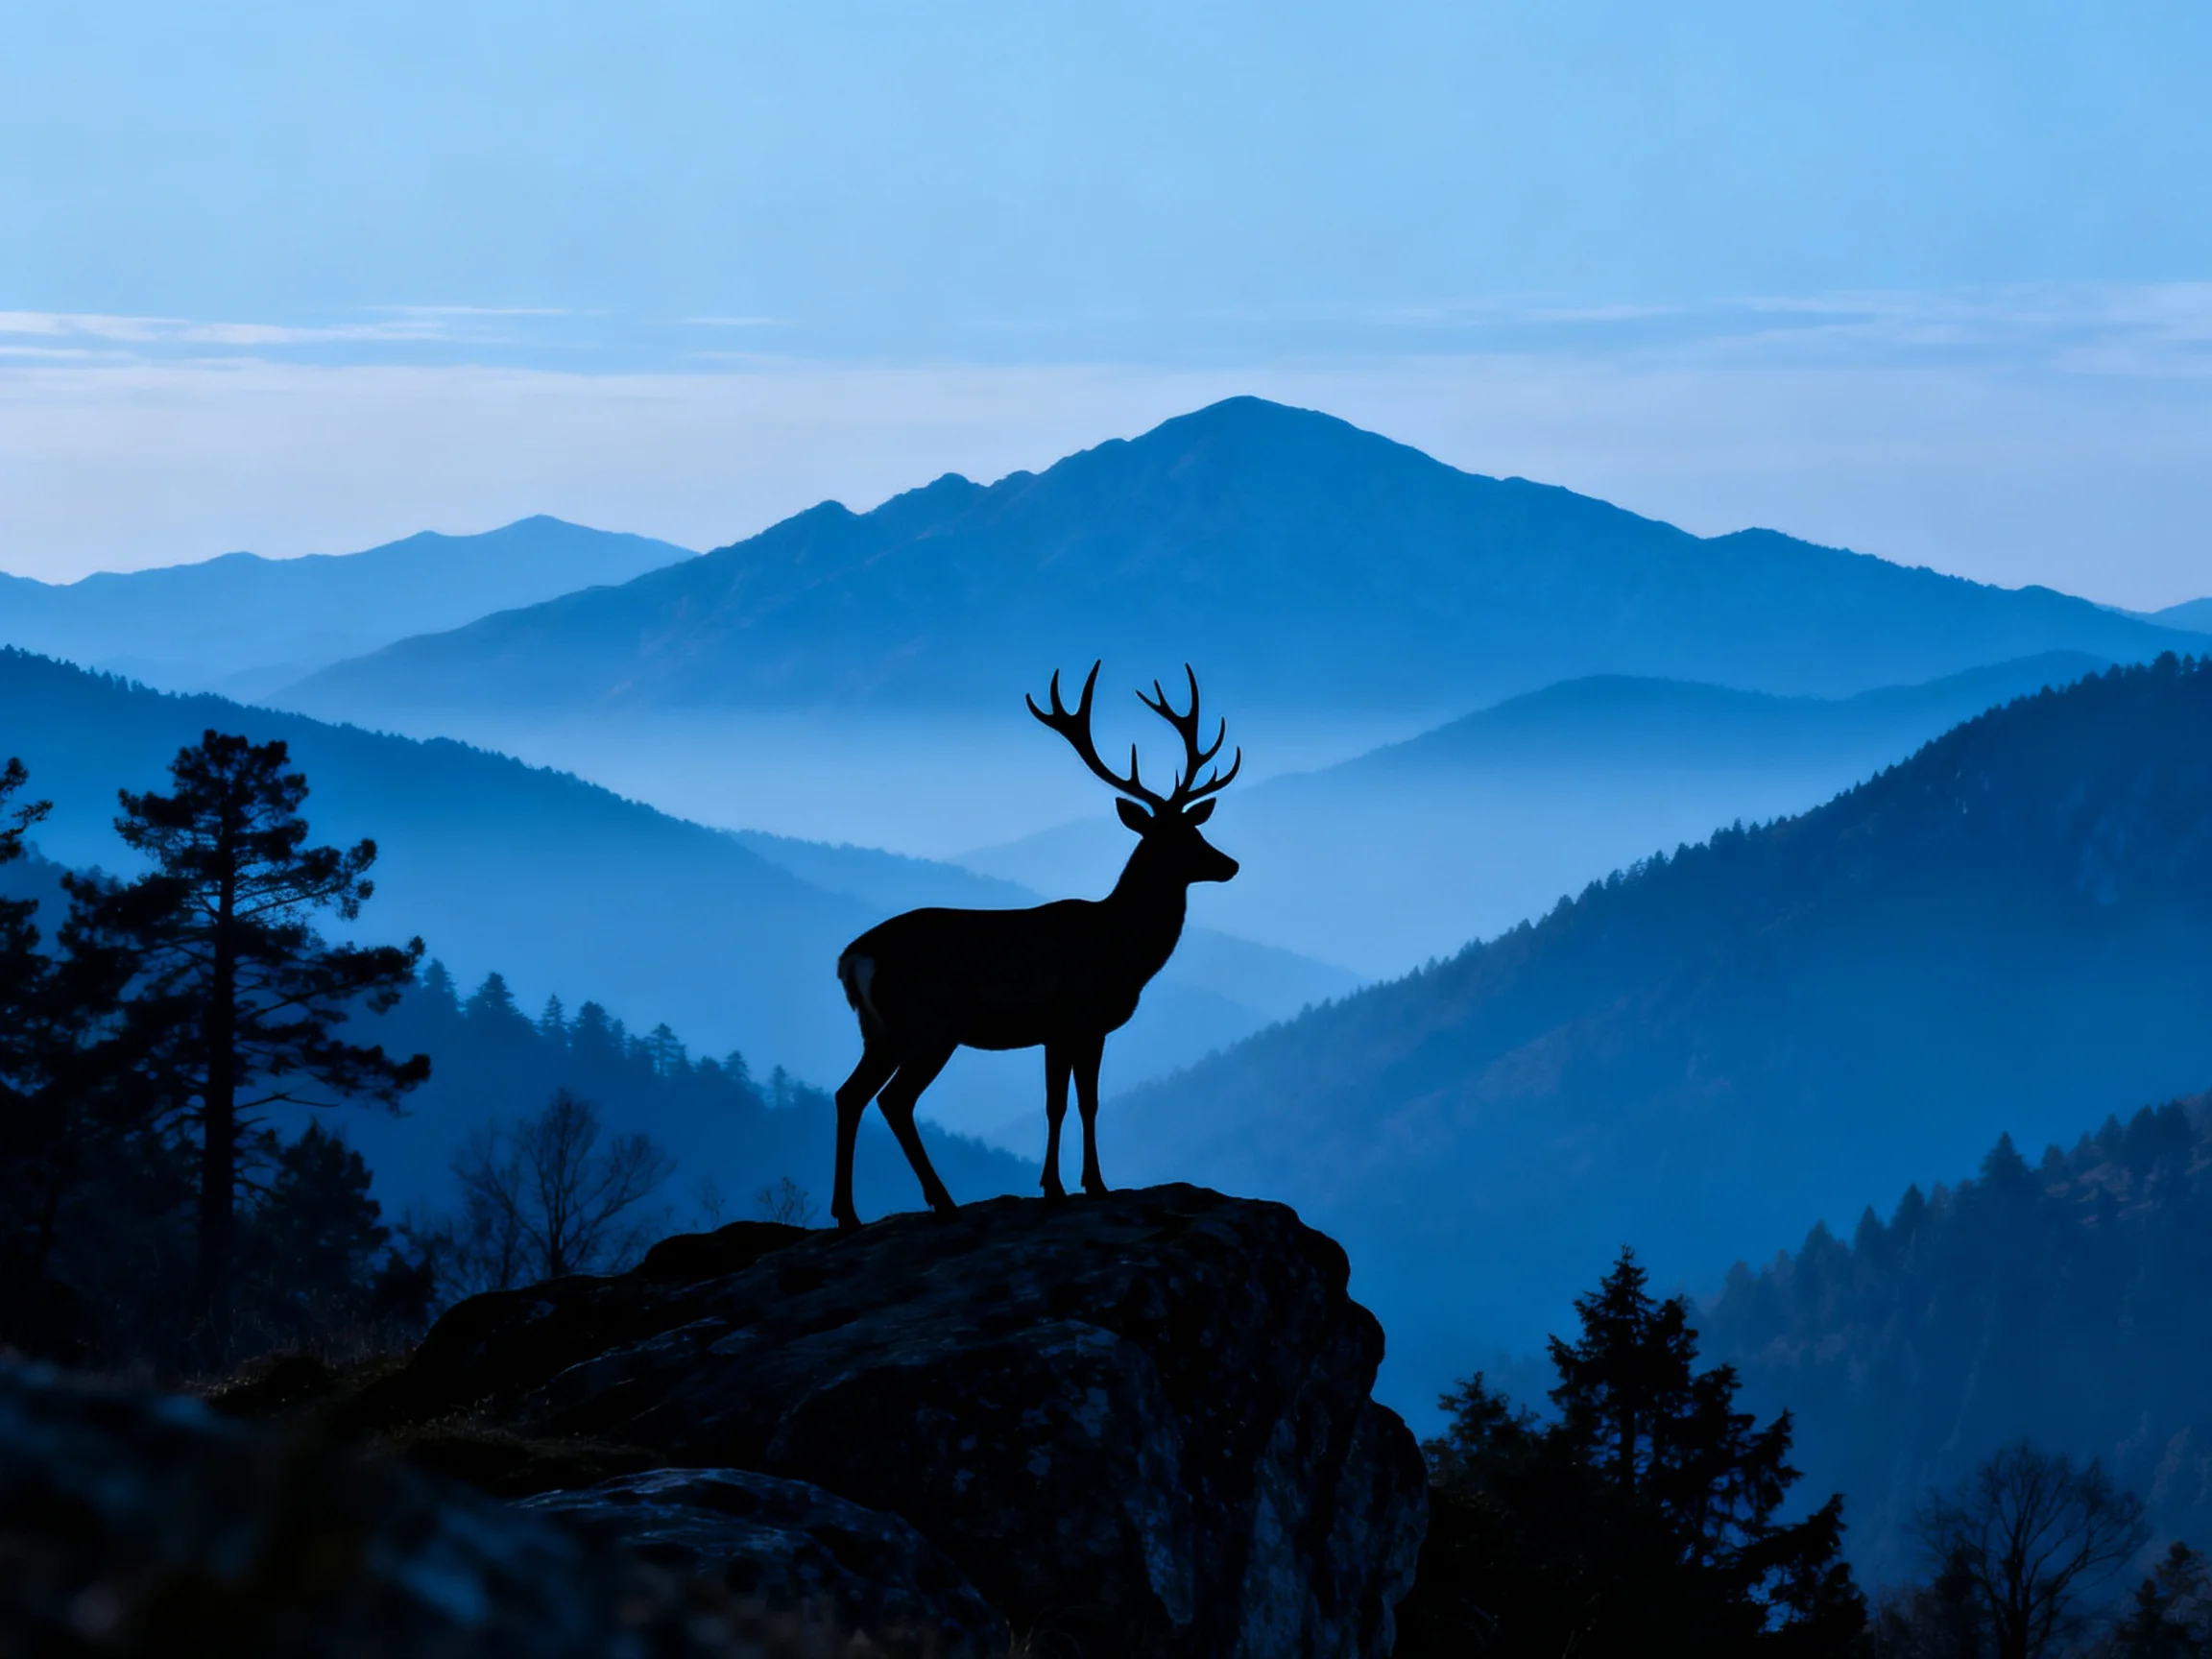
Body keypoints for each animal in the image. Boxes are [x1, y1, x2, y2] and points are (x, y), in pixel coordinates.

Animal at [829, 663, 1241, 1229]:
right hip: (930, 1023)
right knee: (894, 1100)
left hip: (878, 1030)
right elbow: (1063, 1104)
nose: (1231, 864)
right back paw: (942, 1200)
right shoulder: (1071, 1018)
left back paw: (848, 1214)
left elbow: (1083, 1102)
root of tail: (853, 957)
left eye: (1197, 830)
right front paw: (1063, 1186)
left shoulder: (1078, 1030)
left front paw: (1087, 1184)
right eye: (1173, 839)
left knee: (849, 1094)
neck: (1121, 950)